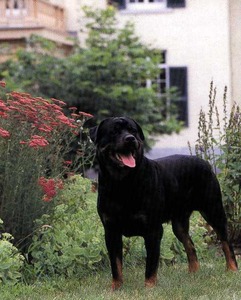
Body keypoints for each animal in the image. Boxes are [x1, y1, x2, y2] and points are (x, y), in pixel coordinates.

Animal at [89, 116, 238, 288]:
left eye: (133, 131)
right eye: (114, 131)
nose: (130, 138)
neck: (122, 183)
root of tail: (205, 162)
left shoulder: (153, 230)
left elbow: (151, 264)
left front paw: (149, 287)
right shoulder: (111, 230)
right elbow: (116, 264)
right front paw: (116, 287)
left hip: (213, 210)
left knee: (225, 241)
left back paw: (232, 269)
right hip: (179, 223)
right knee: (189, 244)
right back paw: (193, 273)